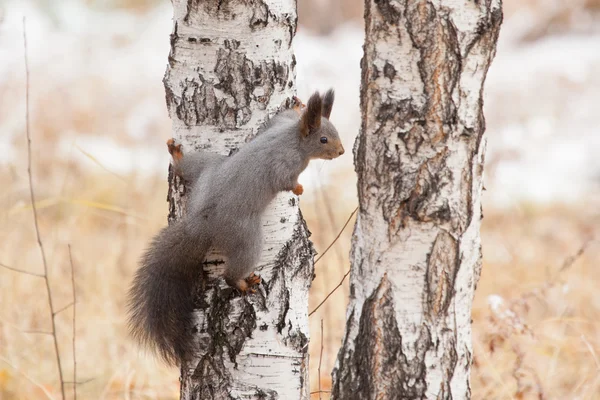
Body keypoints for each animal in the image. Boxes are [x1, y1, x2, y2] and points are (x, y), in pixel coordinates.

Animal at [126, 90, 342, 366]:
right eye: (324, 139)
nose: (341, 151)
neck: (293, 138)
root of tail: (201, 223)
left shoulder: (278, 124)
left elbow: (278, 117)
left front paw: (296, 105)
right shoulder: (284, 164)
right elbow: (284, 181)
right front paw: (298, 188)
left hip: (207, 168)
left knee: (185, 169)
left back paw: (177, 155)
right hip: (247, 236)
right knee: (231, 272)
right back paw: (242, 283)